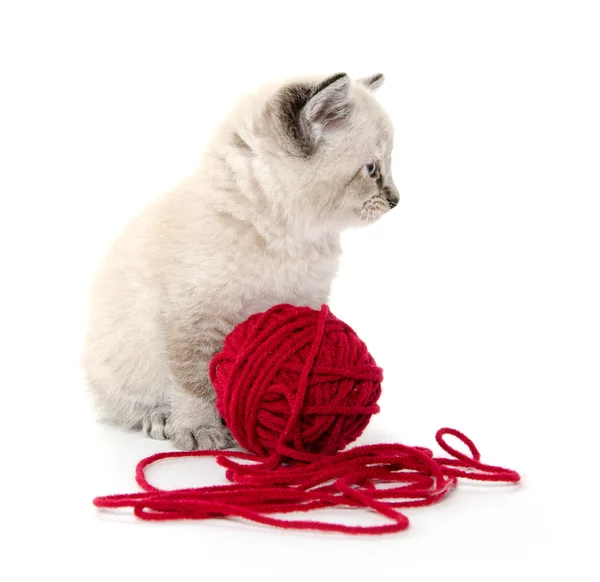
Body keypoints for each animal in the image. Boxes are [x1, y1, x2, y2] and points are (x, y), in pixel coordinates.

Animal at [81, 72, 398, 452]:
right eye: (372, 169)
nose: (396, 200)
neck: (284, 236)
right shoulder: (193, 319)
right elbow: (193, 384)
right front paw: (199, 430)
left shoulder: (306, 302)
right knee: (126, 406)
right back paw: (161, 418)